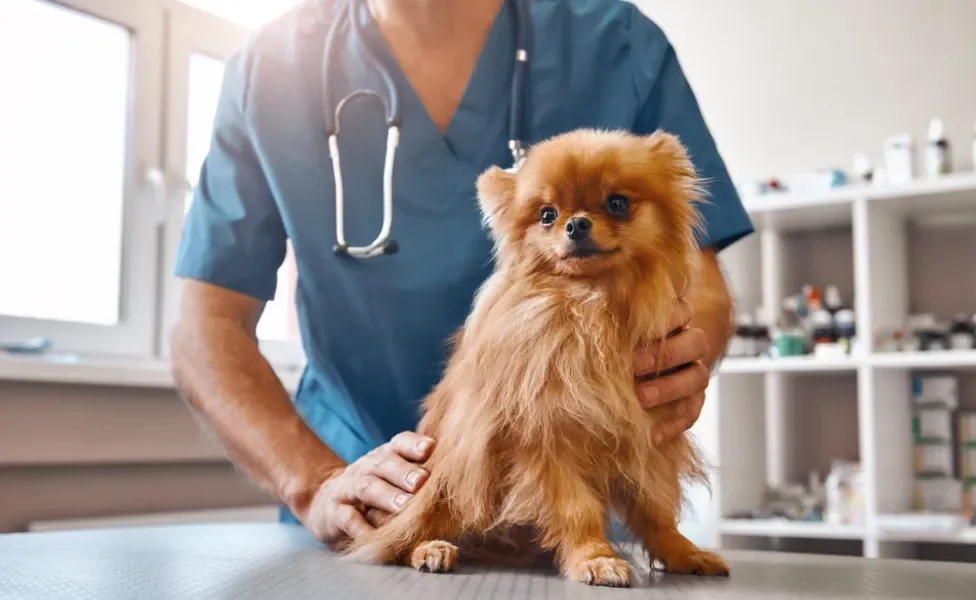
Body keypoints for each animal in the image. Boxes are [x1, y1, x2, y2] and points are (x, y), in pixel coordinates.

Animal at [340, 127, 728, 584]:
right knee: (401, 536)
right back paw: (430, 549)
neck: (592, 307)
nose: (576, 223)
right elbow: (577, 510)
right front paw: (594, 558)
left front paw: (683, 552)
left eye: (617, 203)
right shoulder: (545, 441)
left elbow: (656, 510)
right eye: (547, 215)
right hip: (443, 479)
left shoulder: (649, 440)